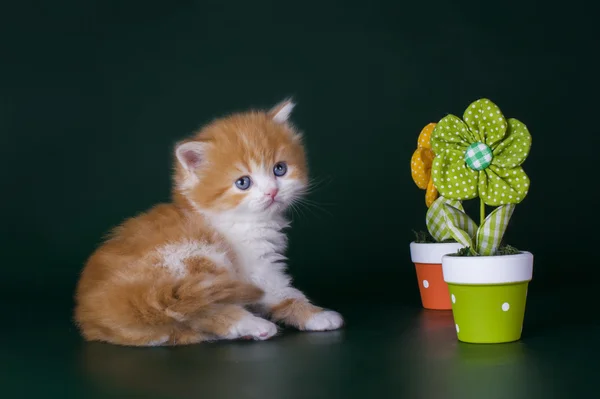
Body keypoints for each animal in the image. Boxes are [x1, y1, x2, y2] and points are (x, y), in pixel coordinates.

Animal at [73, 98, 344, 346]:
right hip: (195, 257)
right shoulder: (255, 266)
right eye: (243, 182)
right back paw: (254, 325)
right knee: (198, 310)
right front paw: (318, 315)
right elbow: (282, 293)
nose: (272, 192)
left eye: (280, 169)